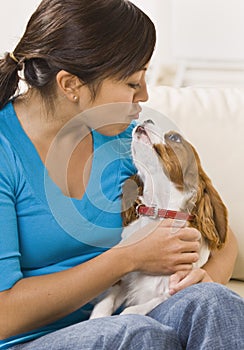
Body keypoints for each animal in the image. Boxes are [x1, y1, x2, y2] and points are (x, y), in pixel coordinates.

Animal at [90, 119, 229, 318]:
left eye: (175, 138)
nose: (148, 119)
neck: (158, 212)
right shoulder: (124, 280)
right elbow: (104, 304)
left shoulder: (171, 289)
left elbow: (131, 311)